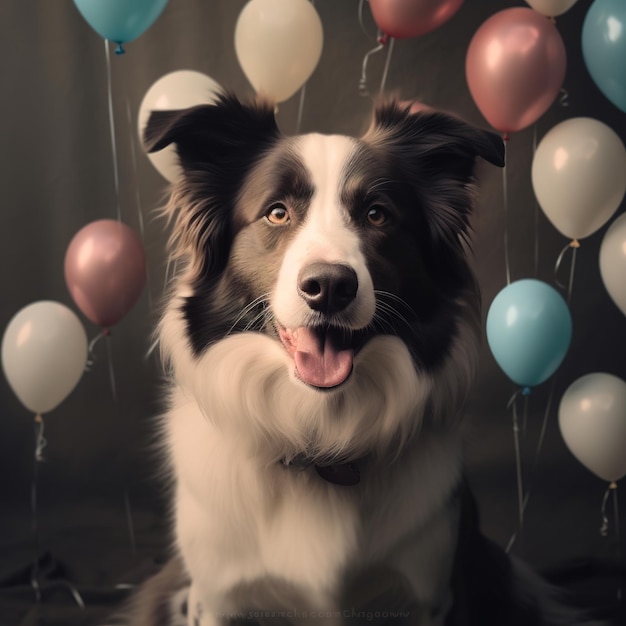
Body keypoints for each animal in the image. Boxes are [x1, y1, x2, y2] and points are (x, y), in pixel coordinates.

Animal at [108, 94, 604, 624]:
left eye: (377, 214)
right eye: (277, 213)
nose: (329, 286)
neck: (318, 439)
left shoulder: (429, 593)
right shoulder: (217, 600)